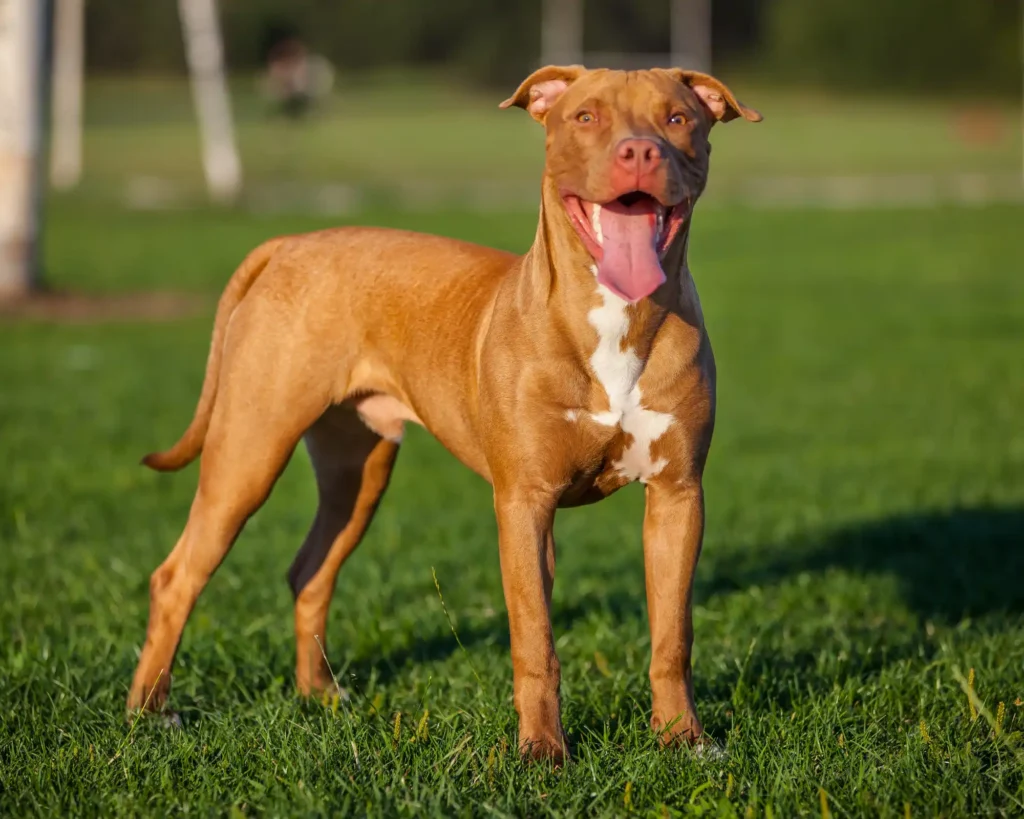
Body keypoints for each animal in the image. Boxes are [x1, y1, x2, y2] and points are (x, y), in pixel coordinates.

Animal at [128, 63, 761, 761]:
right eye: (586, 117)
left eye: (677, 118)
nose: (640, 152)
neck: (618, 317)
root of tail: (290, 244)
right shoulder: (524, 503)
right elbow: (535, 641)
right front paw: (543, 751)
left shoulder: (678, 497)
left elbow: (673, 635)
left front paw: (683, 740)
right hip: (249, 453)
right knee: (177, 576)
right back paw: (149, 712)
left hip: (358, 474)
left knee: (311, 571)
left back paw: (318, 695)